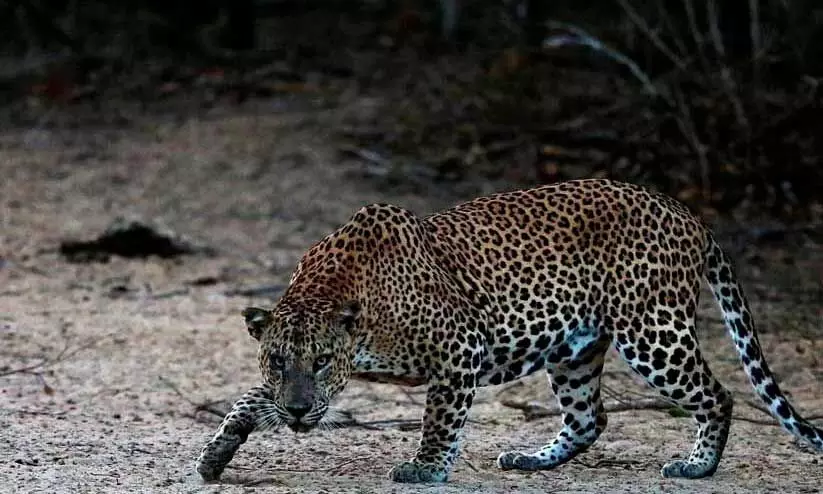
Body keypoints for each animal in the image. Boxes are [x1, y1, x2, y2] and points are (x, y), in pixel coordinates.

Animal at [196, 179, 822, 483]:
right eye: (280, 361)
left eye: (323, 361)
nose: (300, 411)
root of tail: (687, 213)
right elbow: (248, 401)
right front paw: (216, 453)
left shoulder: (459, 350)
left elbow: (439, 420)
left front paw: (426, 469)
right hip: (574, 349)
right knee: (588, 418)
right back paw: (532, 460)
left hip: (652, 331)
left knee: (717, 395)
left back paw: (698, 466)